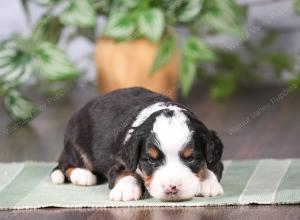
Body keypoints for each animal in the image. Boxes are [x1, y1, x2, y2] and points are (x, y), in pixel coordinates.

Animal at [50, 87, 224, 201]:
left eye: (191, 159)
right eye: (151, 160)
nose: (171, 188)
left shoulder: (216, 159)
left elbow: (210, 167)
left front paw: (209, 184)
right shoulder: (119, 161)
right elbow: (126, 172)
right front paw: (125, 189)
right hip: (76, 139)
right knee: (66, 163)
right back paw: (82, 175)